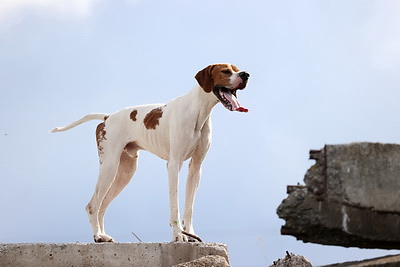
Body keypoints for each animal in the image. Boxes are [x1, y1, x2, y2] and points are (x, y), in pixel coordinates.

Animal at [50, 63, 250, 244]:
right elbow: (175, 206)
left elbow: (189, 208)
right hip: (109, 167)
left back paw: (103, 235)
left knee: (102, 206)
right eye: (225, 71)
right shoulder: (174, 165)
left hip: (125, 173)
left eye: (237, 68)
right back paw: (97, 236)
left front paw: (191, 234)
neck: (198, 111)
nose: (245, 74)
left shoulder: (196, 167)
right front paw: (178, 236)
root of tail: (107, 117)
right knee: (92, 205)